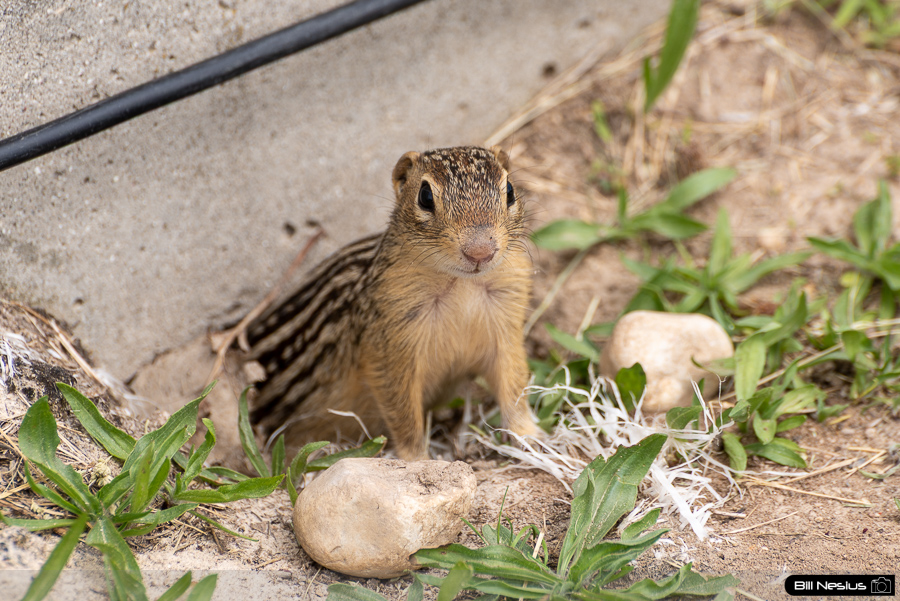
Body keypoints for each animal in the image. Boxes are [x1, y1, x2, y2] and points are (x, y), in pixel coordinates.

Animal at [244, 146, 538, 460]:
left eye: (510, 190)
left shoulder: (506, 326)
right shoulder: (389, 349)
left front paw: (529, 436)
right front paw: (417, 459)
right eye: (425, 196)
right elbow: (403, 412)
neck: (462, 286)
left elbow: (514, 385)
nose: (480, 251)